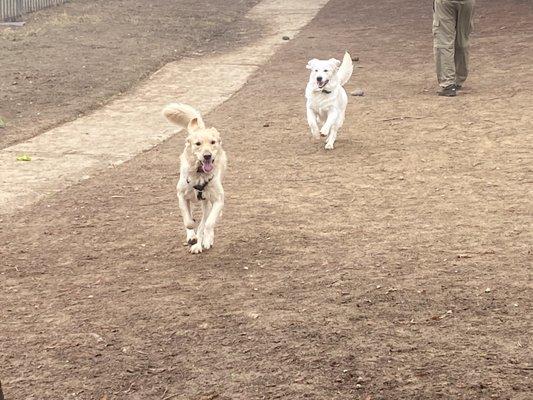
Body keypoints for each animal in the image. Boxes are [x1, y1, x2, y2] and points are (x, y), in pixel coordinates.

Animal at [163, 102, 228, 253]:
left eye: (213, 142)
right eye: (198, 144)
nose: (207, 156)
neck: (199, 174)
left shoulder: (218, 200)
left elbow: (208, 223)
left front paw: (205, 239)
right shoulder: (181, 196)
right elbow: (188, 221)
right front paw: (191, 235)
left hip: (207, 203)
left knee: (205, 222)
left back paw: (203, 241)